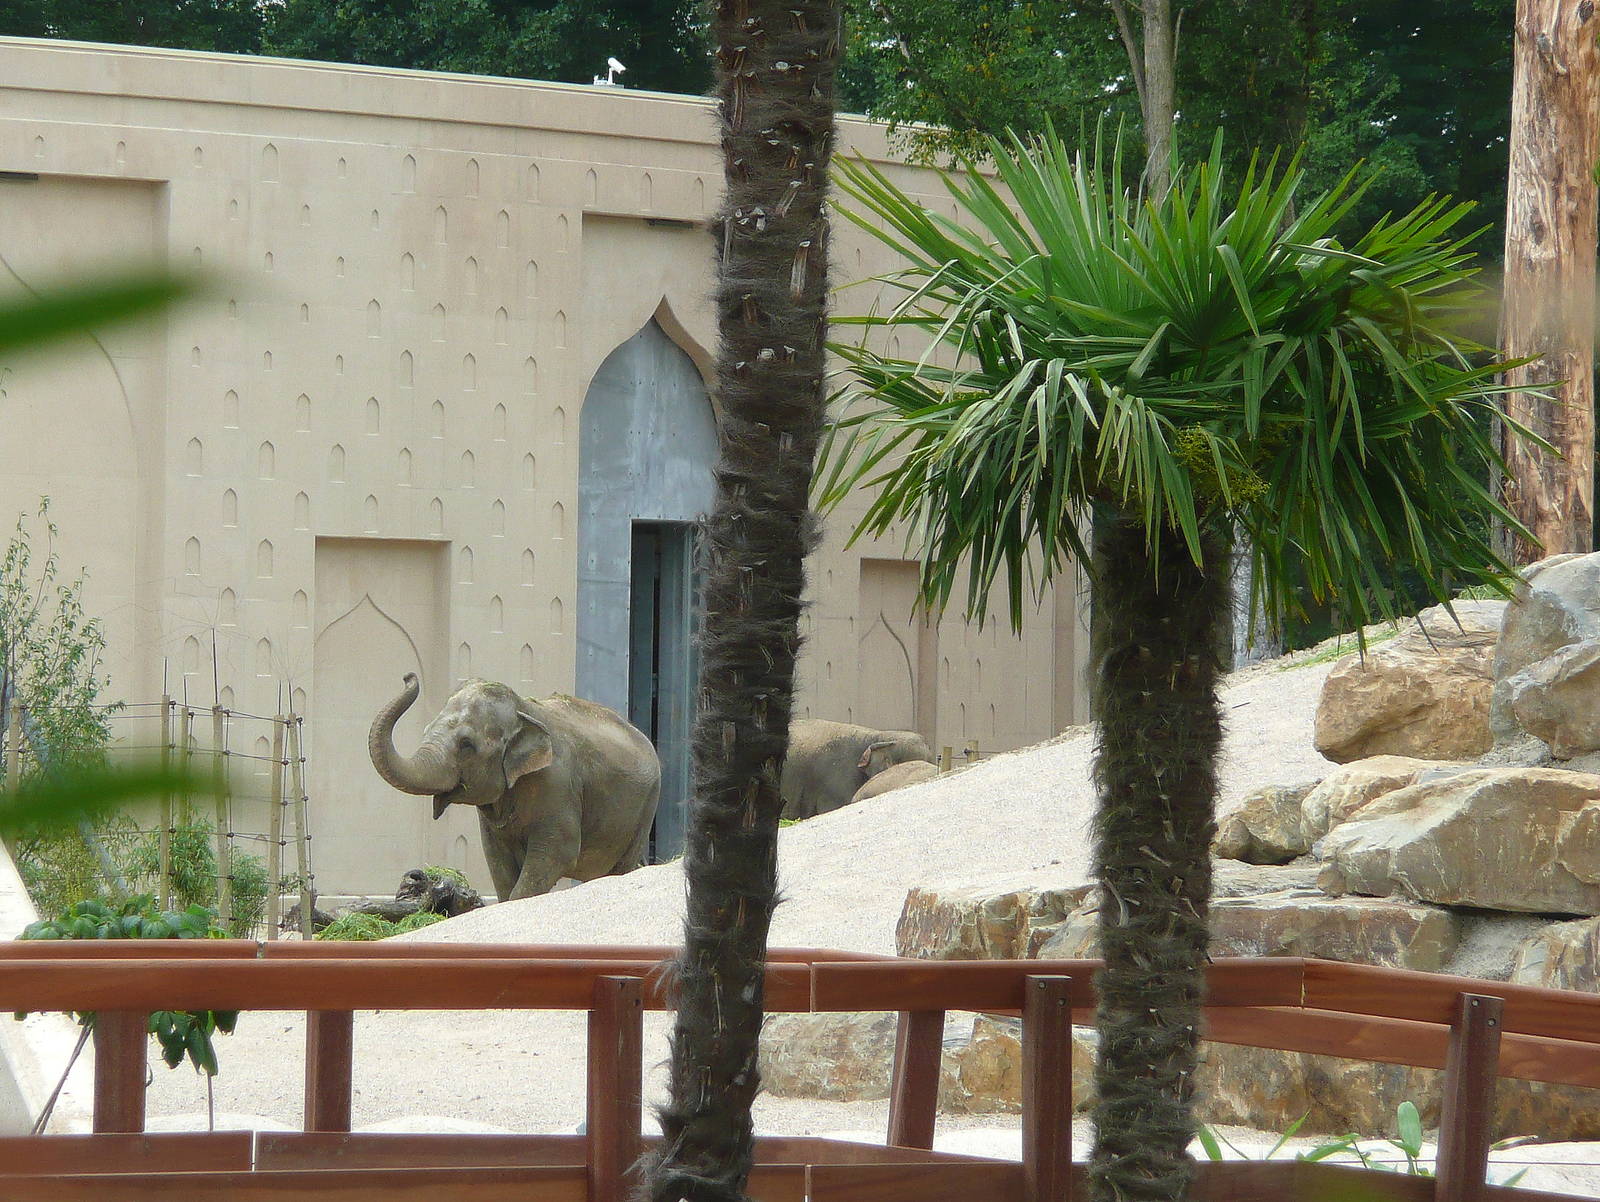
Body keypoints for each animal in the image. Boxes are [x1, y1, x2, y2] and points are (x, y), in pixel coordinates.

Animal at [368, 674, 660, 902]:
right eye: (426, 730)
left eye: (466, 744)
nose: (408, 677)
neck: (523, 710)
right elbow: (497, 862)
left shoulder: (558, 785)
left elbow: (557, 853)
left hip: (646, 808)